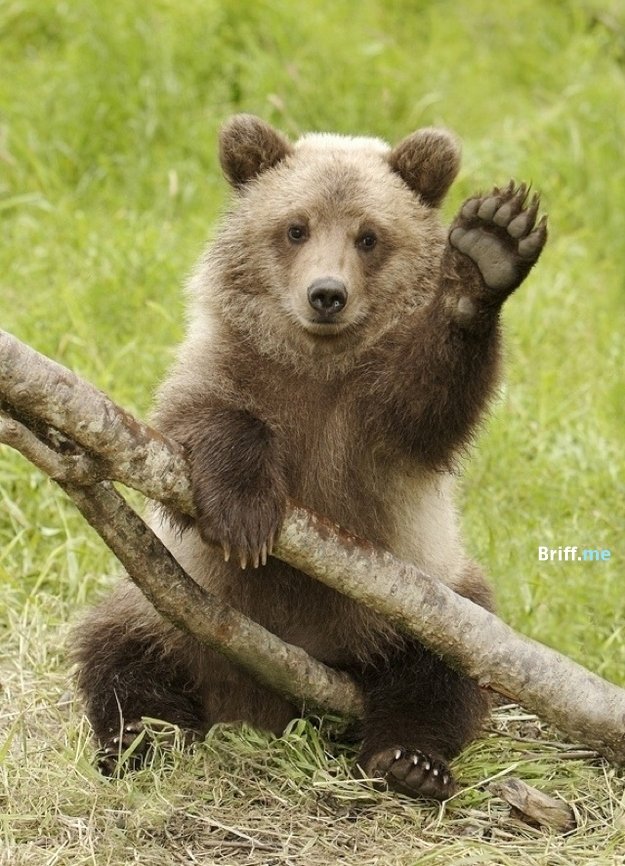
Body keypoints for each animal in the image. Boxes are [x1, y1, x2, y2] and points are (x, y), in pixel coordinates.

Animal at [70, 113, 544, 796]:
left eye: (369, 237)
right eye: (295, 227)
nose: (327, 294)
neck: (318, 365)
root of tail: (265, 700)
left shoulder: (374, 420)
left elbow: (431, 403)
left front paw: (487, 251)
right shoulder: (228, 369)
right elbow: (199, 431)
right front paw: (244, 516)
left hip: (418, 599)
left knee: (443, 666)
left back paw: (409, 760)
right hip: (171, 607)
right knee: (119, 651)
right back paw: (139, 740)